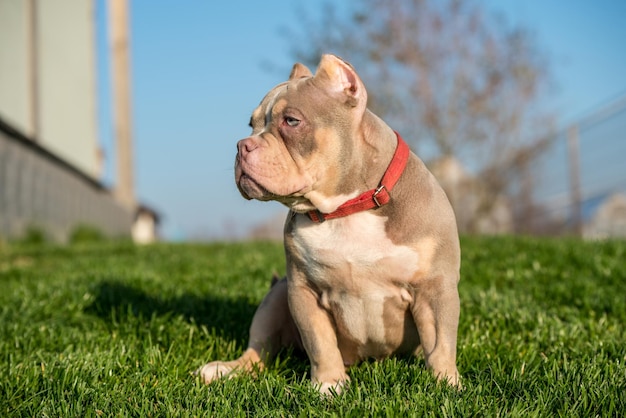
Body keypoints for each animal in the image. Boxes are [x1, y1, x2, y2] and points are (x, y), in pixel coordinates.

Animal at [197, 54, 460, 394]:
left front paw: (446, 385)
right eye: (251, 125)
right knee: (258, 351)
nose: (242, 145)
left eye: (291, 121)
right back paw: (224, 370)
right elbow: (320, 343)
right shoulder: (302, 290)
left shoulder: (434, 287)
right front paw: (328, 385)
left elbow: (440, 343)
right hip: (276, 297)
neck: (346, 208)